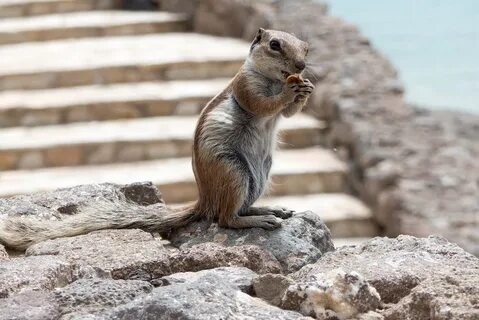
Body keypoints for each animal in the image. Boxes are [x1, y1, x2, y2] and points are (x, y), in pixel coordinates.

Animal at [0, 28, 316, 251]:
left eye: (306, 47)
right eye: (274, 45)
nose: (301, 66)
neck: (274, 80)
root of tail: (204, 200)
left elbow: (287, 114)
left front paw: (305, 90)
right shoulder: (245, 85)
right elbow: (263, 105)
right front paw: (290, 92)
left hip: (259, 174)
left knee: (237, 207)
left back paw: (270, 209)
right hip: (232, 170)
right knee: (225, 218)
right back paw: (259, 219)